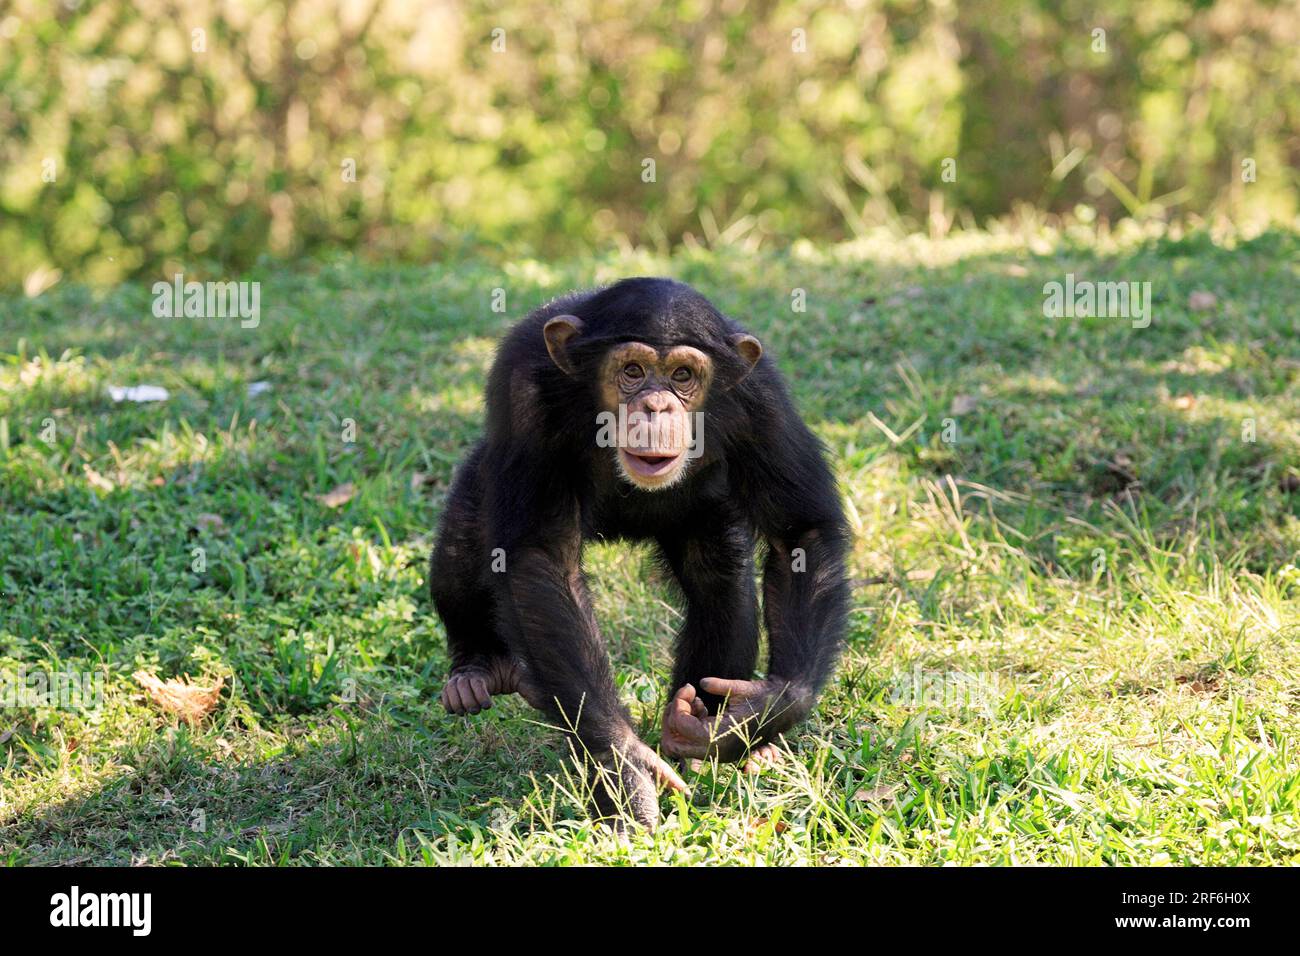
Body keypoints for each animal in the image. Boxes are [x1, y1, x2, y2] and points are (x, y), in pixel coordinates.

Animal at [428, 278, 852, 832]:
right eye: (632, 371)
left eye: (682, 376)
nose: (656, 405)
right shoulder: (523, 391)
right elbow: (541, 558)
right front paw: (623, 764)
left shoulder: (763, 402)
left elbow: (799, 532)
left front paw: (761, 712)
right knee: (463, 541)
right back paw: (477, 670)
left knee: (720, 578)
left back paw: (702, 735)